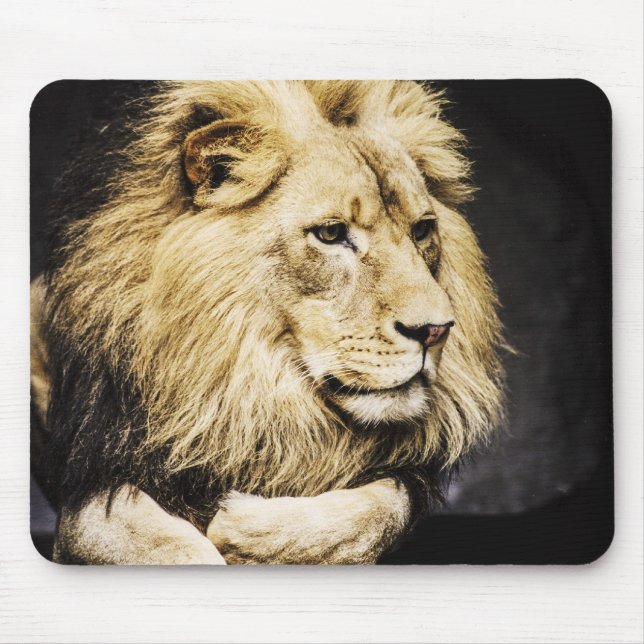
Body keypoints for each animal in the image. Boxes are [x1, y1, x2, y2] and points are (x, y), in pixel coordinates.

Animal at [30, 80, 504, 564]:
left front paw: (250, 533)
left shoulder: (401, 478)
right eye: (331, 233)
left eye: (422, 229)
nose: (435, 330)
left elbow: (381, 510)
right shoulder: (93, 482)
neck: (258, 392)